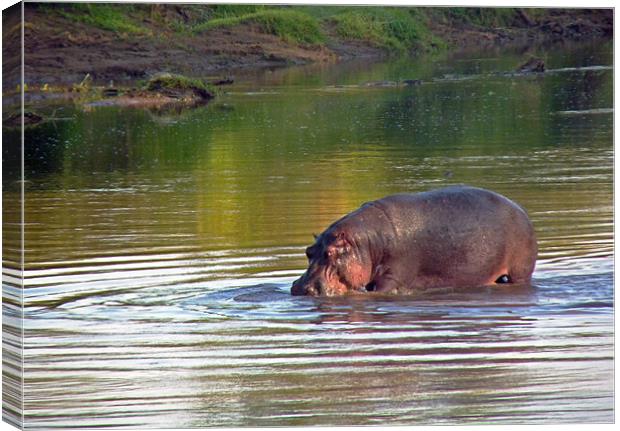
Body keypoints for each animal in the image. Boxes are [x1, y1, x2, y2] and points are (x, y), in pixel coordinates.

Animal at [294, 186, 536, 296]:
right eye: (308, 251)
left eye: (330, 253)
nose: (301, 287)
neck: (367, 244)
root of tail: (520, 209)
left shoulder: (393, 278)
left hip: (520, 272)